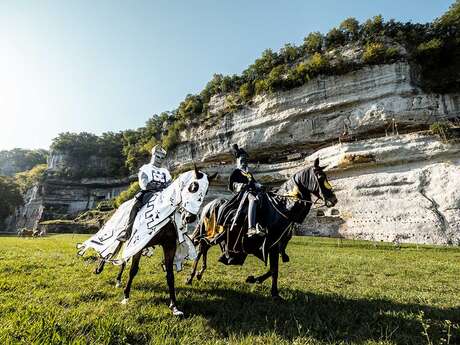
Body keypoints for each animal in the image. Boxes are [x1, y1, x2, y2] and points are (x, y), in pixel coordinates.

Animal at [187, 157, 338, 296]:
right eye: (320, 177)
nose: (334, 200)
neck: (282, 207)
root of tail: (207, 205)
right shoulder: (271, 245)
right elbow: (274, 270)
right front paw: (271, 291)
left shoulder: (275, 245)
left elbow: (273, 270)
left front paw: (258, 282)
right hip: (210, 232)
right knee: (200, 248)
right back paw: (191, 276)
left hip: (217, 236)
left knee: (204, 247)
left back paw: (199, 273)